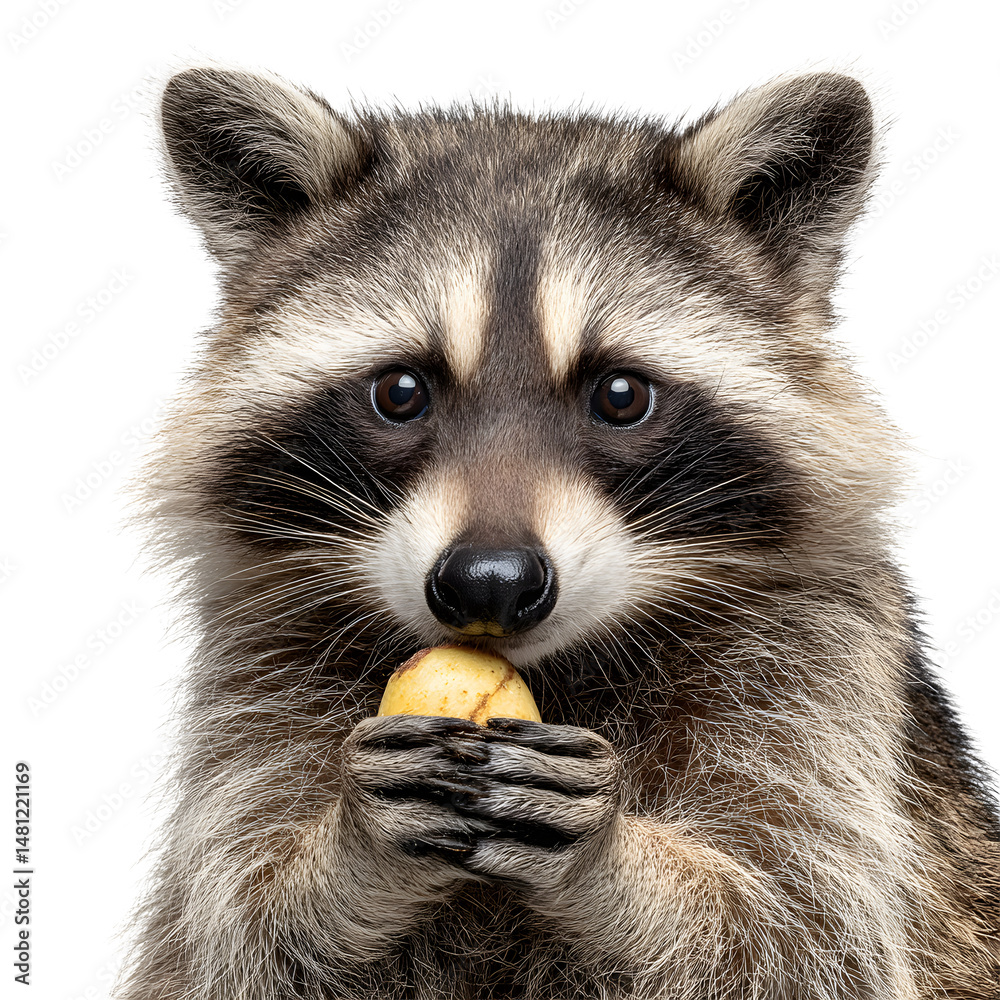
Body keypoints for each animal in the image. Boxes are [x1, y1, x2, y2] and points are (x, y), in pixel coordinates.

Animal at [118, 66, 1000, 999]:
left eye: (620, 395)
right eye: (400, 391)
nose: (489, 581)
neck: (561, 665)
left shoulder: (819, 682)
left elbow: (802, 937)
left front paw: (612, 862)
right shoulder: (257, 671)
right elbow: (231, 937)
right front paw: (347, 854)